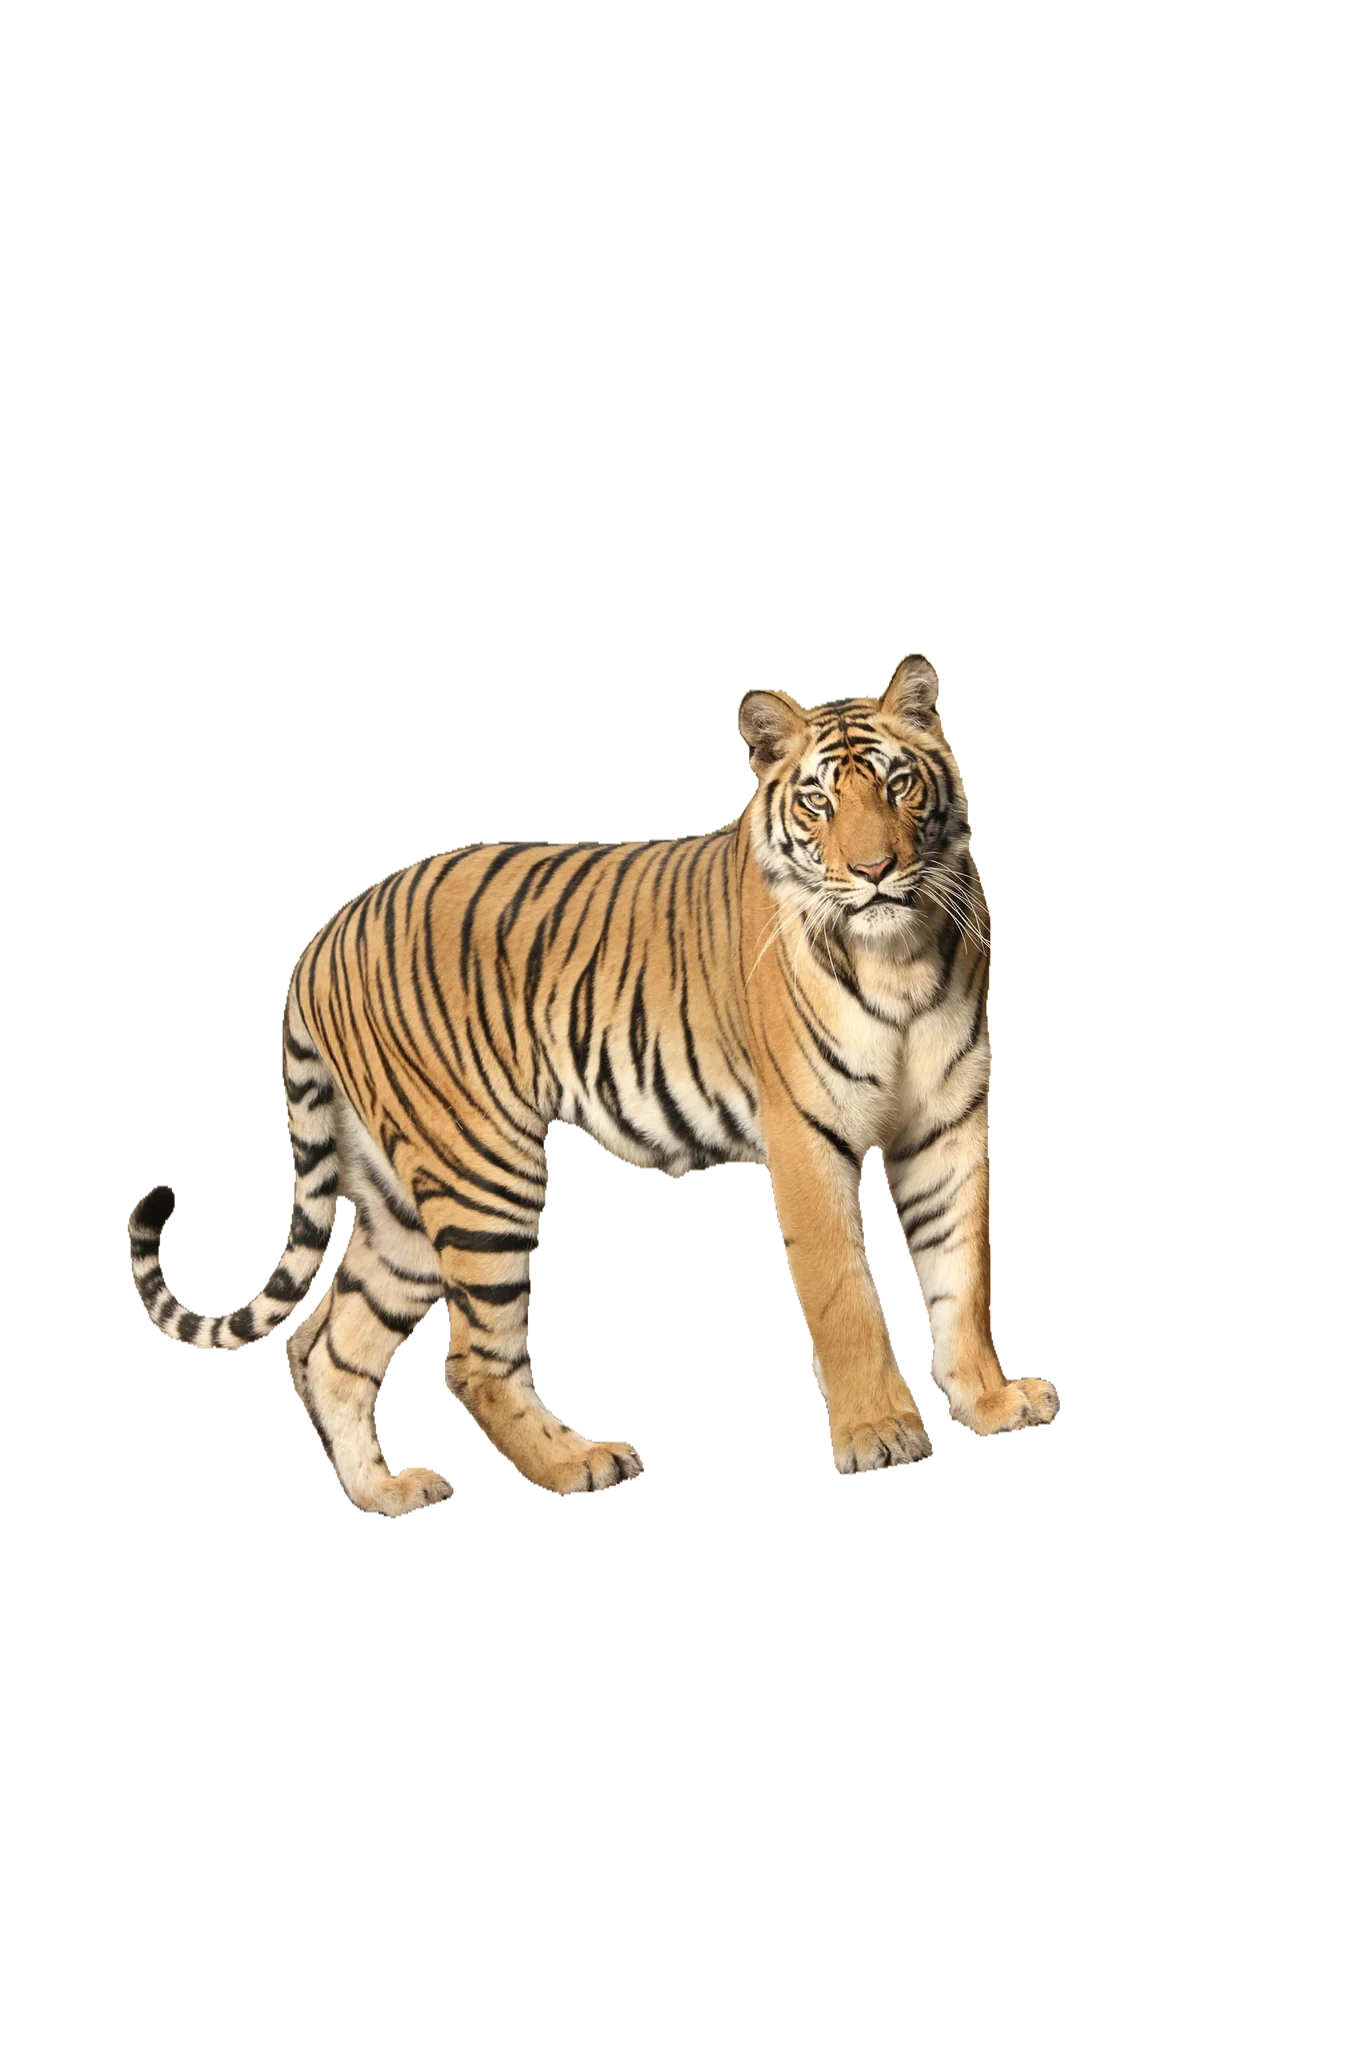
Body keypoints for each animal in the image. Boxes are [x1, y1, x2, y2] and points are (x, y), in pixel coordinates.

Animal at [128, 651, 1056, 1515]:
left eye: (899, 784)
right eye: (817, 802)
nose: (872, 872)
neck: (900, 954)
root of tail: (326, 929)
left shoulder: (947, 1119)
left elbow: (962, 1270)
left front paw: (989, 1401)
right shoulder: (804, 1130)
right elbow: (844, 1294)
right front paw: (879, 1433)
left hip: (400, 1199)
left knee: (331, 1345)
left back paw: (386, 1492)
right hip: (482, 1170)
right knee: (474, 1359)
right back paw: (578, 1464)